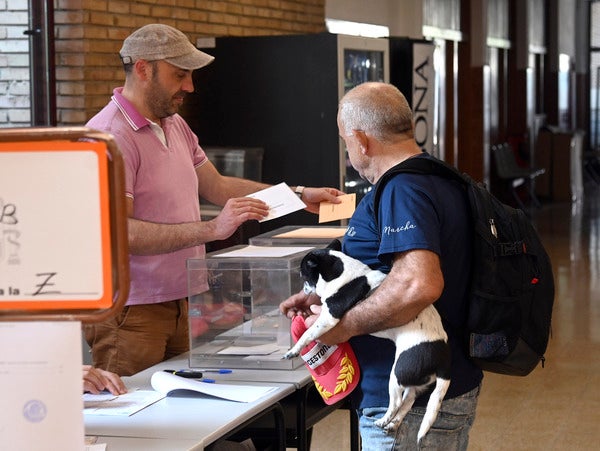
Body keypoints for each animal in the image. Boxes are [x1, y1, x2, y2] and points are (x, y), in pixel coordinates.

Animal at [284, 242, 450, 444]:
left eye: (303, 275)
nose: (303, 289)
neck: (343, 274)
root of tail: (443, 360)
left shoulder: (328, 318)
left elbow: (307, 334)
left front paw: (294, 350)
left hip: (397, 373)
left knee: (396, 402)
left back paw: (383, 420)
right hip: (415, 383)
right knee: (407, 403)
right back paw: (392, 423)